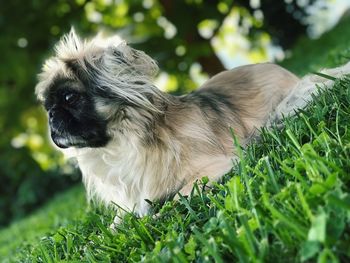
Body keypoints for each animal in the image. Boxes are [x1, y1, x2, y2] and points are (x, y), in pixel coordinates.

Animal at [34, 29, 348, 227]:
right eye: (47, 105)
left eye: (69, 98)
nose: (51, 116)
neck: (122, 142)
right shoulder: (131, 200)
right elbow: (114, 225)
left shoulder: (214, 168)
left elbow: (178, 198)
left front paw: (157, 218)